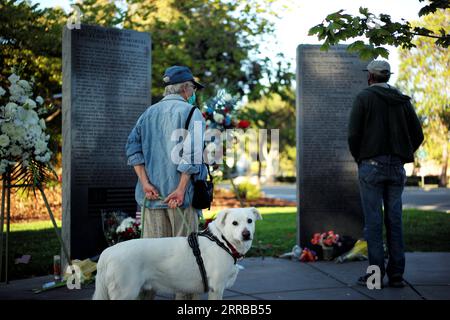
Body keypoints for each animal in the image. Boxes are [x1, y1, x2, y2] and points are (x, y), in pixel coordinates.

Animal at [92, 208, 260, 300]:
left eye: (250, 221)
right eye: (234, 223)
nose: (246, 234)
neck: (223, 241)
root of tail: (107, 253)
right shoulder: (217, 288)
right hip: (125, 292)